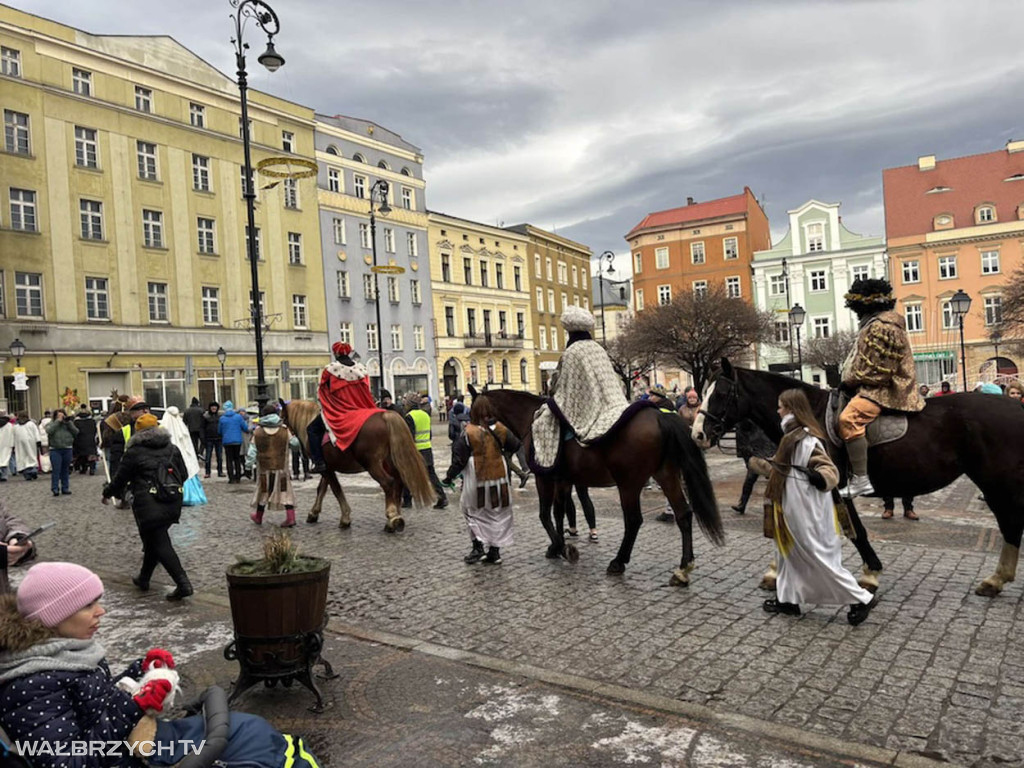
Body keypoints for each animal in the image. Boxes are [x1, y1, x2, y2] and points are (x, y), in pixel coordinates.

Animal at [280, 399, 436, 532]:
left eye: (282, 419)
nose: (290, 443)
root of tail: (385, 415)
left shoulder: (327, 469)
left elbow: (336, 490)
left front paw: (345, 518)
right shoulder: (326, 467)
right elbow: (321, 489)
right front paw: (313, 513)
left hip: (372, 464)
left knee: (388, 483)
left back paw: (392, 517)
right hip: (391, 462)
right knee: (398, 483)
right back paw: (397, 516)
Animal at [468, 387, 724, 585]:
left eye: (474, 412)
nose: (470, 439)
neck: (532, 418)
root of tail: (661, 415)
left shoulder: (545, 478)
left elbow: (544, 514)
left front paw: (562, 547)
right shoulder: (564, 480)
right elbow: (559, 512)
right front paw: (557, 546)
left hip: (629, 483)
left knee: (634, 520)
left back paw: (619, 561)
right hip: (666, 475)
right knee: (684, 514)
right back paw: (683, 568)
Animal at [692, 358, 1024, 598]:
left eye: (720, 393)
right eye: (703, 393)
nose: (698, 434)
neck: (808, 417)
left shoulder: (834, 486)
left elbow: (856, 532)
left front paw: (870, 573)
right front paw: (775, 572)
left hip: (997, 482)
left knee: (1010, 524)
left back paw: (997, 578)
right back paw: (998, 578)